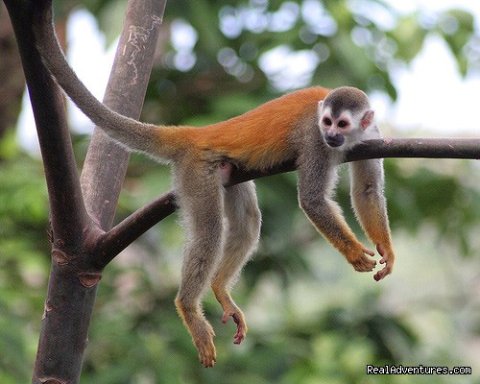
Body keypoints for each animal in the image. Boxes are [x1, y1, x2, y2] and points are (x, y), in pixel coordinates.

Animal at [32, 10, 394, 368]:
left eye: (342, 124)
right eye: (327, 123)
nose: (331, 135)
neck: (342, 138)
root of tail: (201, 131)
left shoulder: (371, 134)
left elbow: (366, 189)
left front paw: (387, 251)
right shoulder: (314, 140)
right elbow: (313, 200)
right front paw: (353, 253)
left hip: (227, 170)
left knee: (248, 221)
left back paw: (220, 288)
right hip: (196, 170)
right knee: (209, 231)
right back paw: (189, 307)